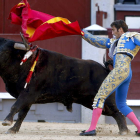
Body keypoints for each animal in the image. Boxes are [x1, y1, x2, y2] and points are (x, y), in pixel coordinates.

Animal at [0, 35, 129, 135]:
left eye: (5, 51)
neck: (25, 64)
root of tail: (106, 70)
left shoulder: (28, 94)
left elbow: (15, 106)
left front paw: (6, 121)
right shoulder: (28, 98)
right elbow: (22, 114)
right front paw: (13, 130)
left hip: (106, 98)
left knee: (118, 112)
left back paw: (124, 131)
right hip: (90, 101)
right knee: (112, 113)